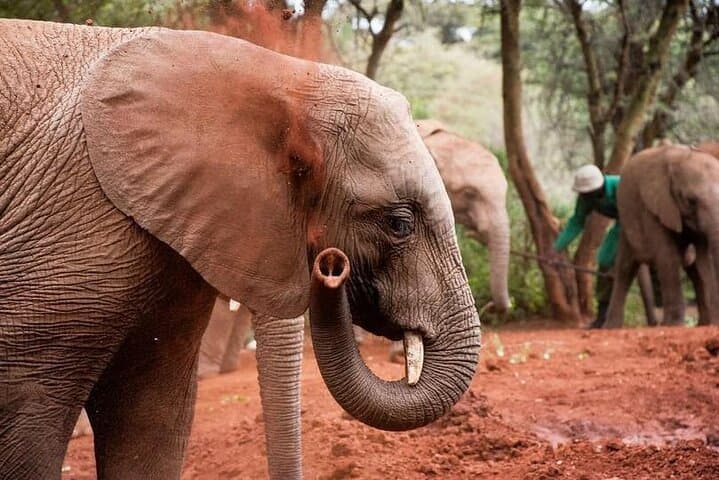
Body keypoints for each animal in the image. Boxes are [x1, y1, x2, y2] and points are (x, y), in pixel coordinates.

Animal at [0, 19, 481, 480]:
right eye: (399, 224)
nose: (331, 266)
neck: (275, 72)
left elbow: (151, 414)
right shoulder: (75, 222)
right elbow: (26, 411)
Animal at [605, 144, 719, 328]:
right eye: (691, 200)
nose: (656, 324)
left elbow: (704, 259)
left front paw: (714, 324)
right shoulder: (653, 206)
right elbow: (667, 255)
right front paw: (673, 325)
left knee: (693, 270)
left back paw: (702, 324)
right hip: (626, 221)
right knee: (625, 269)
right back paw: (611, 328)